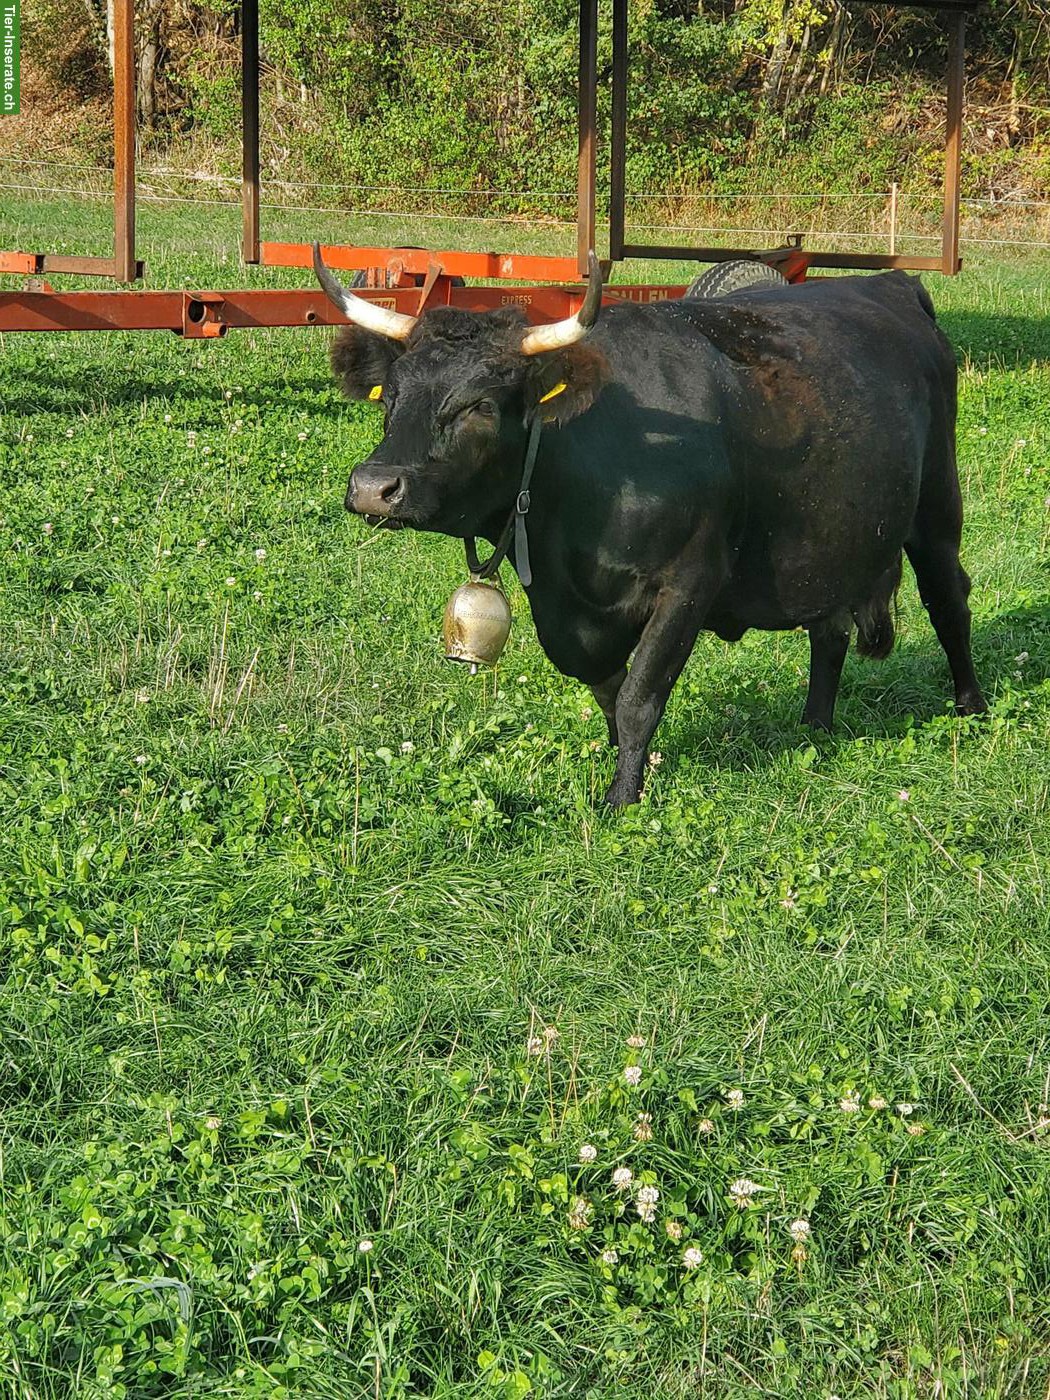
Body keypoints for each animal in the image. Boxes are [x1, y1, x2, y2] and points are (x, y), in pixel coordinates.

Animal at [314, 244, 986, 807]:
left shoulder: (690, 581)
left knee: (949, 598)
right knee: (830, 627)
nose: (374, 487)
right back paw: (816, 724)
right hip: (827, 535)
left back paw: (971, 707)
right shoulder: (569, 615)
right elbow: (608, 691)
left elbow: (641, 694)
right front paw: (628, 765)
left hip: (935, 505)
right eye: (389, 396)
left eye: (480, 404)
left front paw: (623, 798)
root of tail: (891, 283)